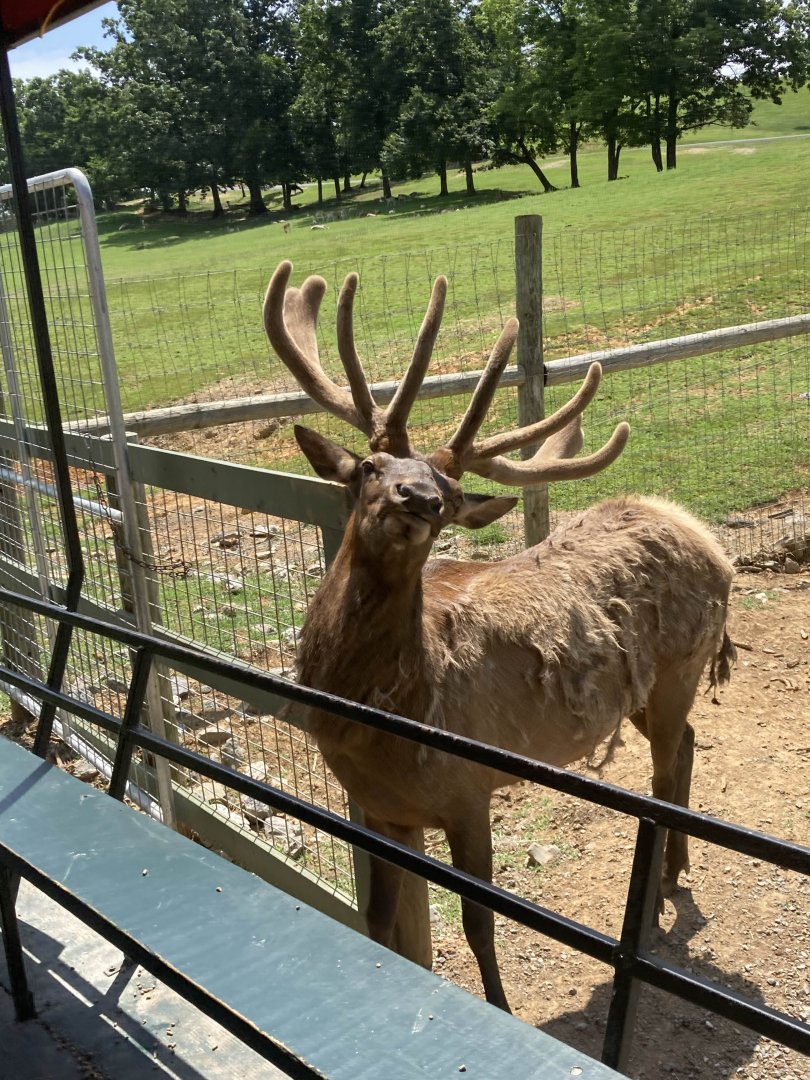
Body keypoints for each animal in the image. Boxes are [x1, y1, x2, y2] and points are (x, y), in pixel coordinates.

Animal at [263, 260, 736, 1013]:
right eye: (369, 467)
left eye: (452, 495)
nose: (419, 500)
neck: (373, 728)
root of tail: (705, 536)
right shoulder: (379, 813)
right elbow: (378, 922)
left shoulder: (468, 789)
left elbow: (479, 924)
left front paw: (499, 1007)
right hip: (641, 691)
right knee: (688, 744)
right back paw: (675, 874)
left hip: (682, 667)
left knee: (665, 771)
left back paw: (659, 893)